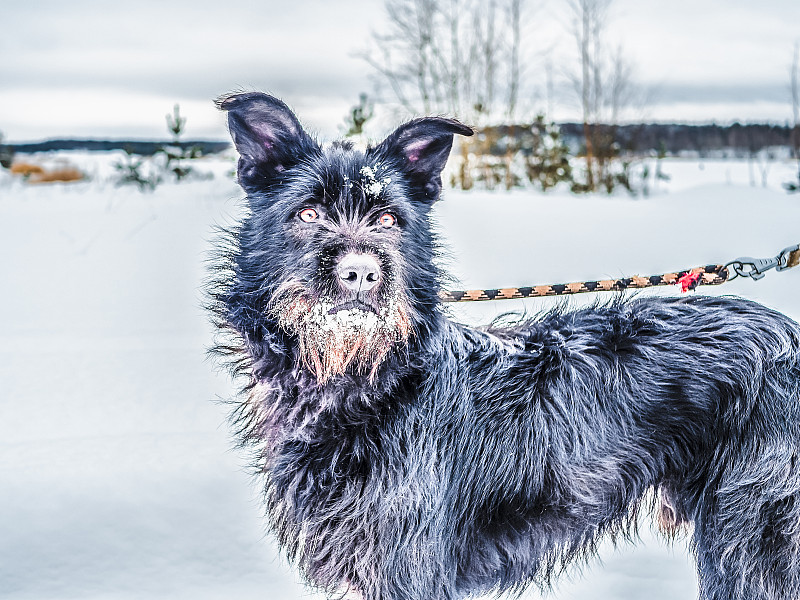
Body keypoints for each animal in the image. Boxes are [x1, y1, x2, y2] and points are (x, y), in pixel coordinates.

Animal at [209, 90, 800, 600]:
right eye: (308, 213)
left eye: (389, 219)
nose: (360, 273)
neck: (364, 380)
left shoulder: (407, 567)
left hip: (752, 539)